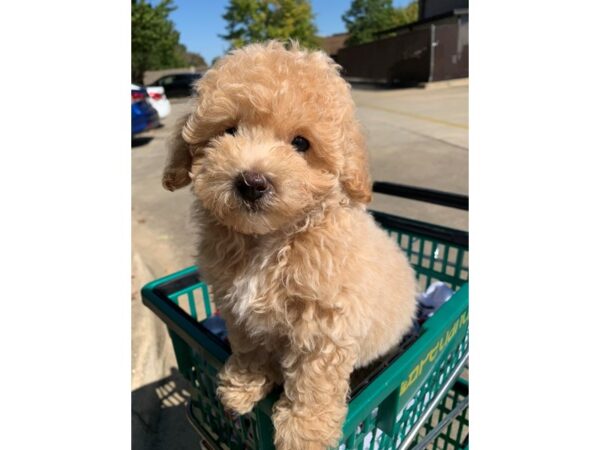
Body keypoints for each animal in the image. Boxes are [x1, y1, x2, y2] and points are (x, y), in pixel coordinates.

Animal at [163, 41, 418, 446]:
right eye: (229, 130)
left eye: (301, 143)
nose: (252, 182)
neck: (270, 240)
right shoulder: (236, 307)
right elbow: (249, 346)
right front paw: (242, 386)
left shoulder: (324, 322)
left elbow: (314, 376)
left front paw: (304, 431)